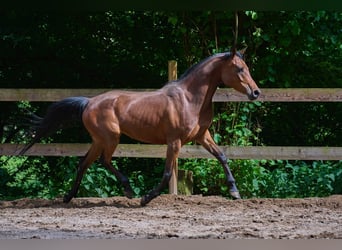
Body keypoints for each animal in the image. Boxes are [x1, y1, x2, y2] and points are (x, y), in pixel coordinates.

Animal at [19, 48, 260, 205]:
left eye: (246, 67)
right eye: (239, 69)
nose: (256, 92)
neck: (190, 98)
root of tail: (88, 102)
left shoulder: (202, 136)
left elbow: (222, 157)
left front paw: (235, 192)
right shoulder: (174, 141)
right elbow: (167, 173)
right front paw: (146, 198)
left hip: (99, 140)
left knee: (84, 163)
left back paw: (69, 197)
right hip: (110, 138)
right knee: (103, 161)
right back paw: (128, 190)